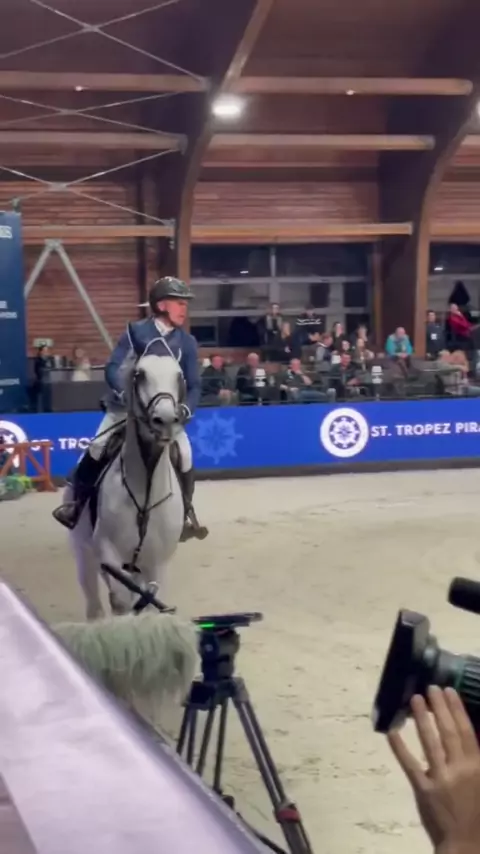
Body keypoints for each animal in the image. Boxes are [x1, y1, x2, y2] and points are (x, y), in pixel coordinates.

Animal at [67, 353, 185, 619]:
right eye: (139, 375)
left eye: (179, 376)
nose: (165, 421)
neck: (145, 490)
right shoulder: (108, 553)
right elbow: (120, 602)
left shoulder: (156, 563)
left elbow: (146, 605)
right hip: (84, 554)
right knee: (94, 605)